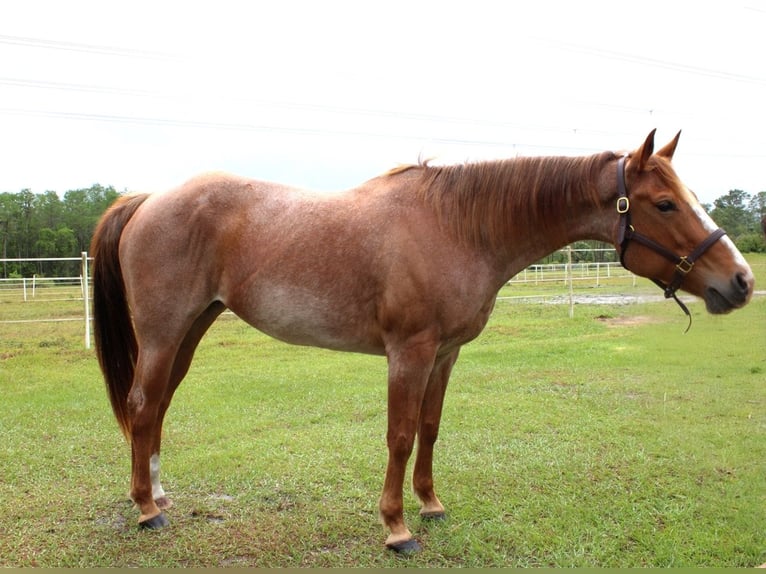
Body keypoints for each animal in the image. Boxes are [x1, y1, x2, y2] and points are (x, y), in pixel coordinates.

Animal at [90, 130, 754, 553]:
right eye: (664, 203)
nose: (741, 281)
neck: (458, 227)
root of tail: (149, 199)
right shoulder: (408, 352)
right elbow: (401, 436)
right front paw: (397, 528)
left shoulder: (445, 352)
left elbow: (431, 429)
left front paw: (430, 505)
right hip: (163, 333)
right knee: (143, 407)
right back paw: (146, 510)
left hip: (190, 330)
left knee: (157, 410)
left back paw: (160, 495)